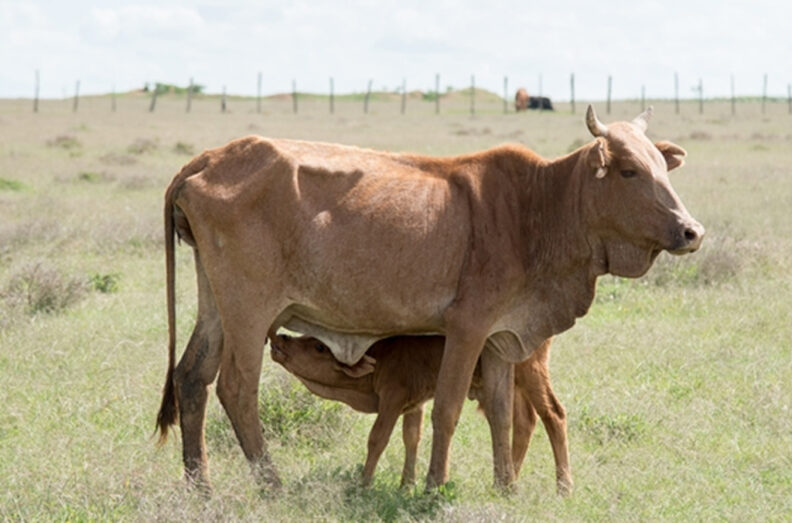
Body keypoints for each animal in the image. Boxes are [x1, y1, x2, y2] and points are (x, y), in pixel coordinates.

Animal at [269, 332, 572, 494]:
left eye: (319, 346)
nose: (281, 339)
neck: (381, 354)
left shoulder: (392, 400)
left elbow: (378, 439)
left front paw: (364, 484)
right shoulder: (413, 404)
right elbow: (411, 438)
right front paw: (406, 485)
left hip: (531, 373)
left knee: (553, 415)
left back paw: (563, 488)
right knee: (523, 422)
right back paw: (511, 479)